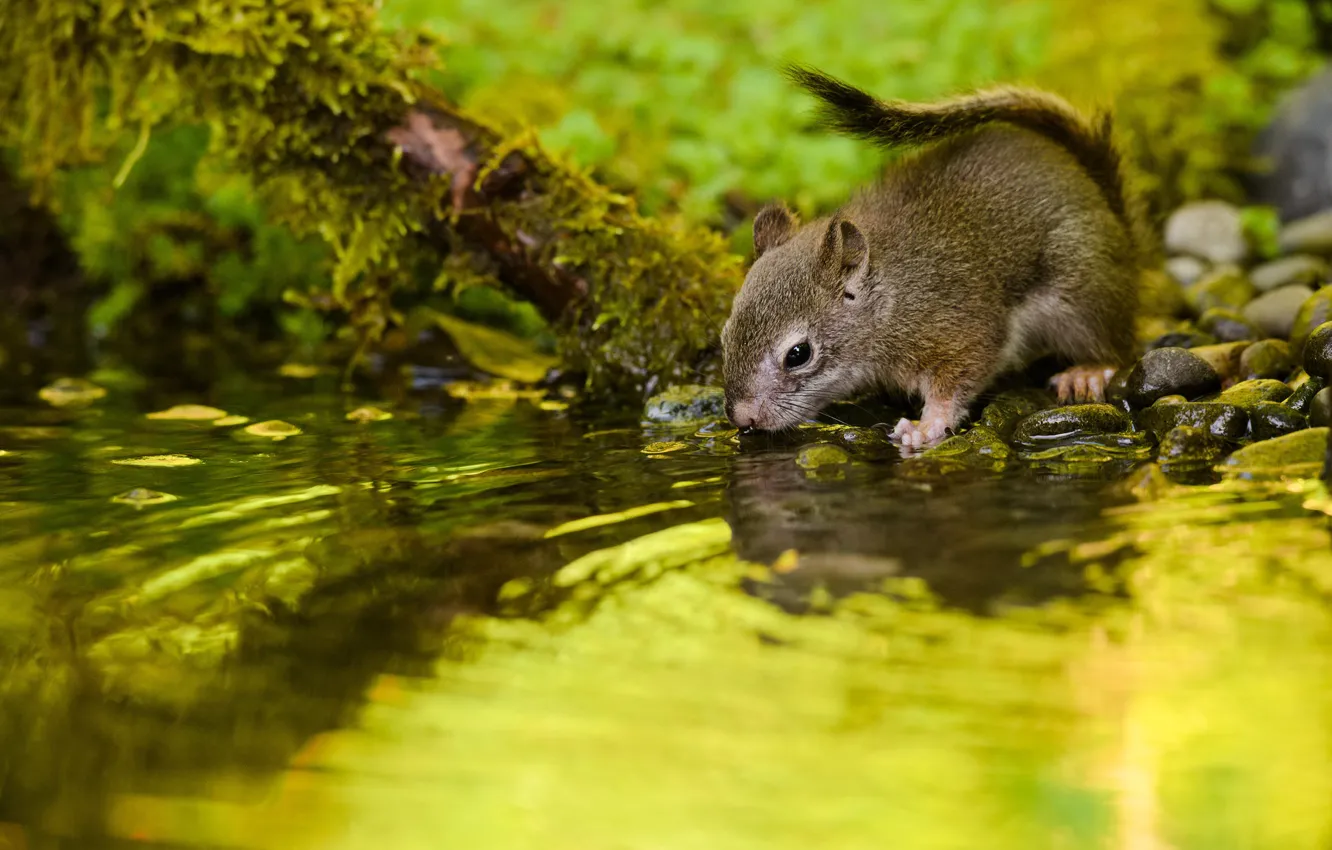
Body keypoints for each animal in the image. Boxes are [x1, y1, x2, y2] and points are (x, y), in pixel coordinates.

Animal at [719, 64, 1145, 452]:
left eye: (798, 354)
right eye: (724, 335)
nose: (743, 418)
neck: (890, 297)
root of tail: (1121, 230)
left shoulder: (957, 329)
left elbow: (955, 381)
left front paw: (927, 426)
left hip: (1082, 295)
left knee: (1116, 346)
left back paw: (1088, 371)